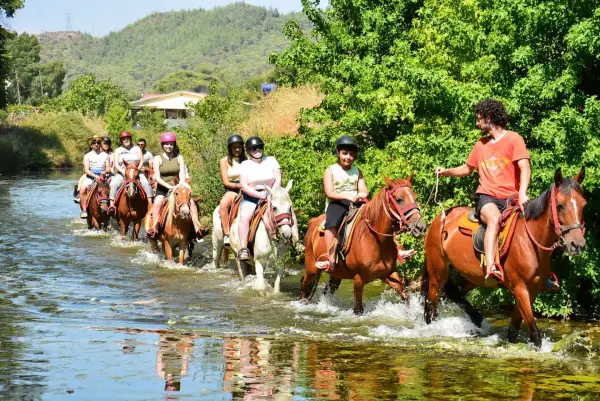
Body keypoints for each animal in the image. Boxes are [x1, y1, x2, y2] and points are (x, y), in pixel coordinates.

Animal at [302, 177, 428, 314]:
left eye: (415, 197)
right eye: (399, 200)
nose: (420, 227)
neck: (376, 241)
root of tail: (313, 221)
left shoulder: (388, 274)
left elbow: (405, 296)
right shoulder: (358, 279)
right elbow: (358, 309)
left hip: (336, 274)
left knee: (327, 291)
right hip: (312, 269)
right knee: (304, 284)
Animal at [424, 167, 588, 346]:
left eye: (584, 205)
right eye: (559, 206)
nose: (577, 244)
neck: (529, 241)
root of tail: (441, 217)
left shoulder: (532, 290)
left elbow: (514, 329)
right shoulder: (520, 288)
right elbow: (534, 333)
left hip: (473, 276)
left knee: (457, 294)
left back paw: (478, 320)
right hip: (437, 272)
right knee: (431, 304)